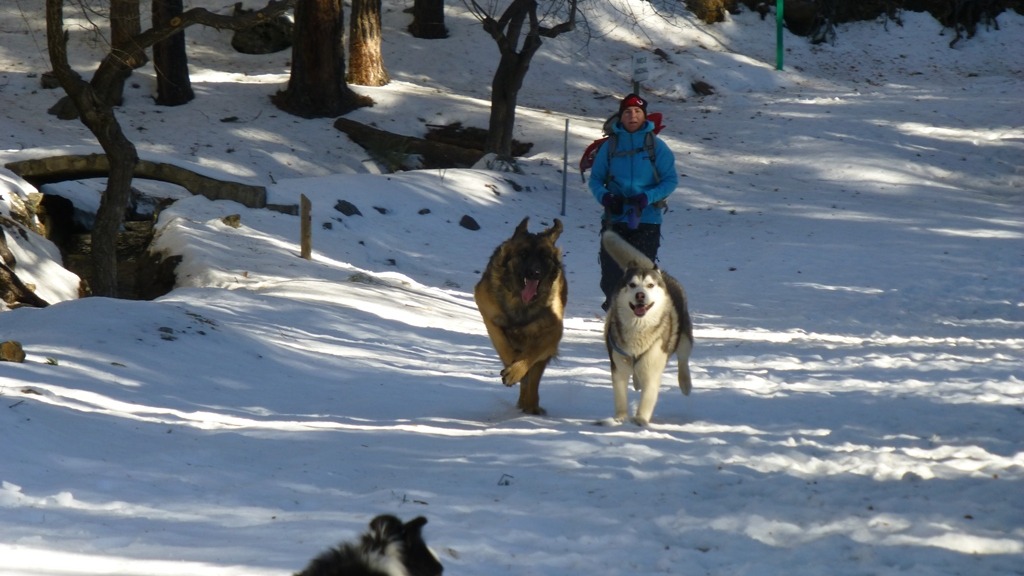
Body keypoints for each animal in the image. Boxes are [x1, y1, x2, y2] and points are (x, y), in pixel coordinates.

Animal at [474, 217, 567, 415]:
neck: (521, 302)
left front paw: (515, 371)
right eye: (523, 254)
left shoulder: (553, 332)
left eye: (544, 256)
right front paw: (512, 362)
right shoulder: (487, 312)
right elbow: (502, 342)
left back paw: (530, 405)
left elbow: (532, 354)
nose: (535, 273)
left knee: (533, 378)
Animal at [601, 229, 693, 426]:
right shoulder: (618, 366)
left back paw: (685, 383)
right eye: (632, 285)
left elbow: (648, 397)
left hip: (684, 338)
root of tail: (660, 272)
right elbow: (620, 396)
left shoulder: (653, 366)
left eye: (650, 285)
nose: (640, 295)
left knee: (683, 358)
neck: (638, 329)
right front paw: (620, 418)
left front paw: (640, 419)